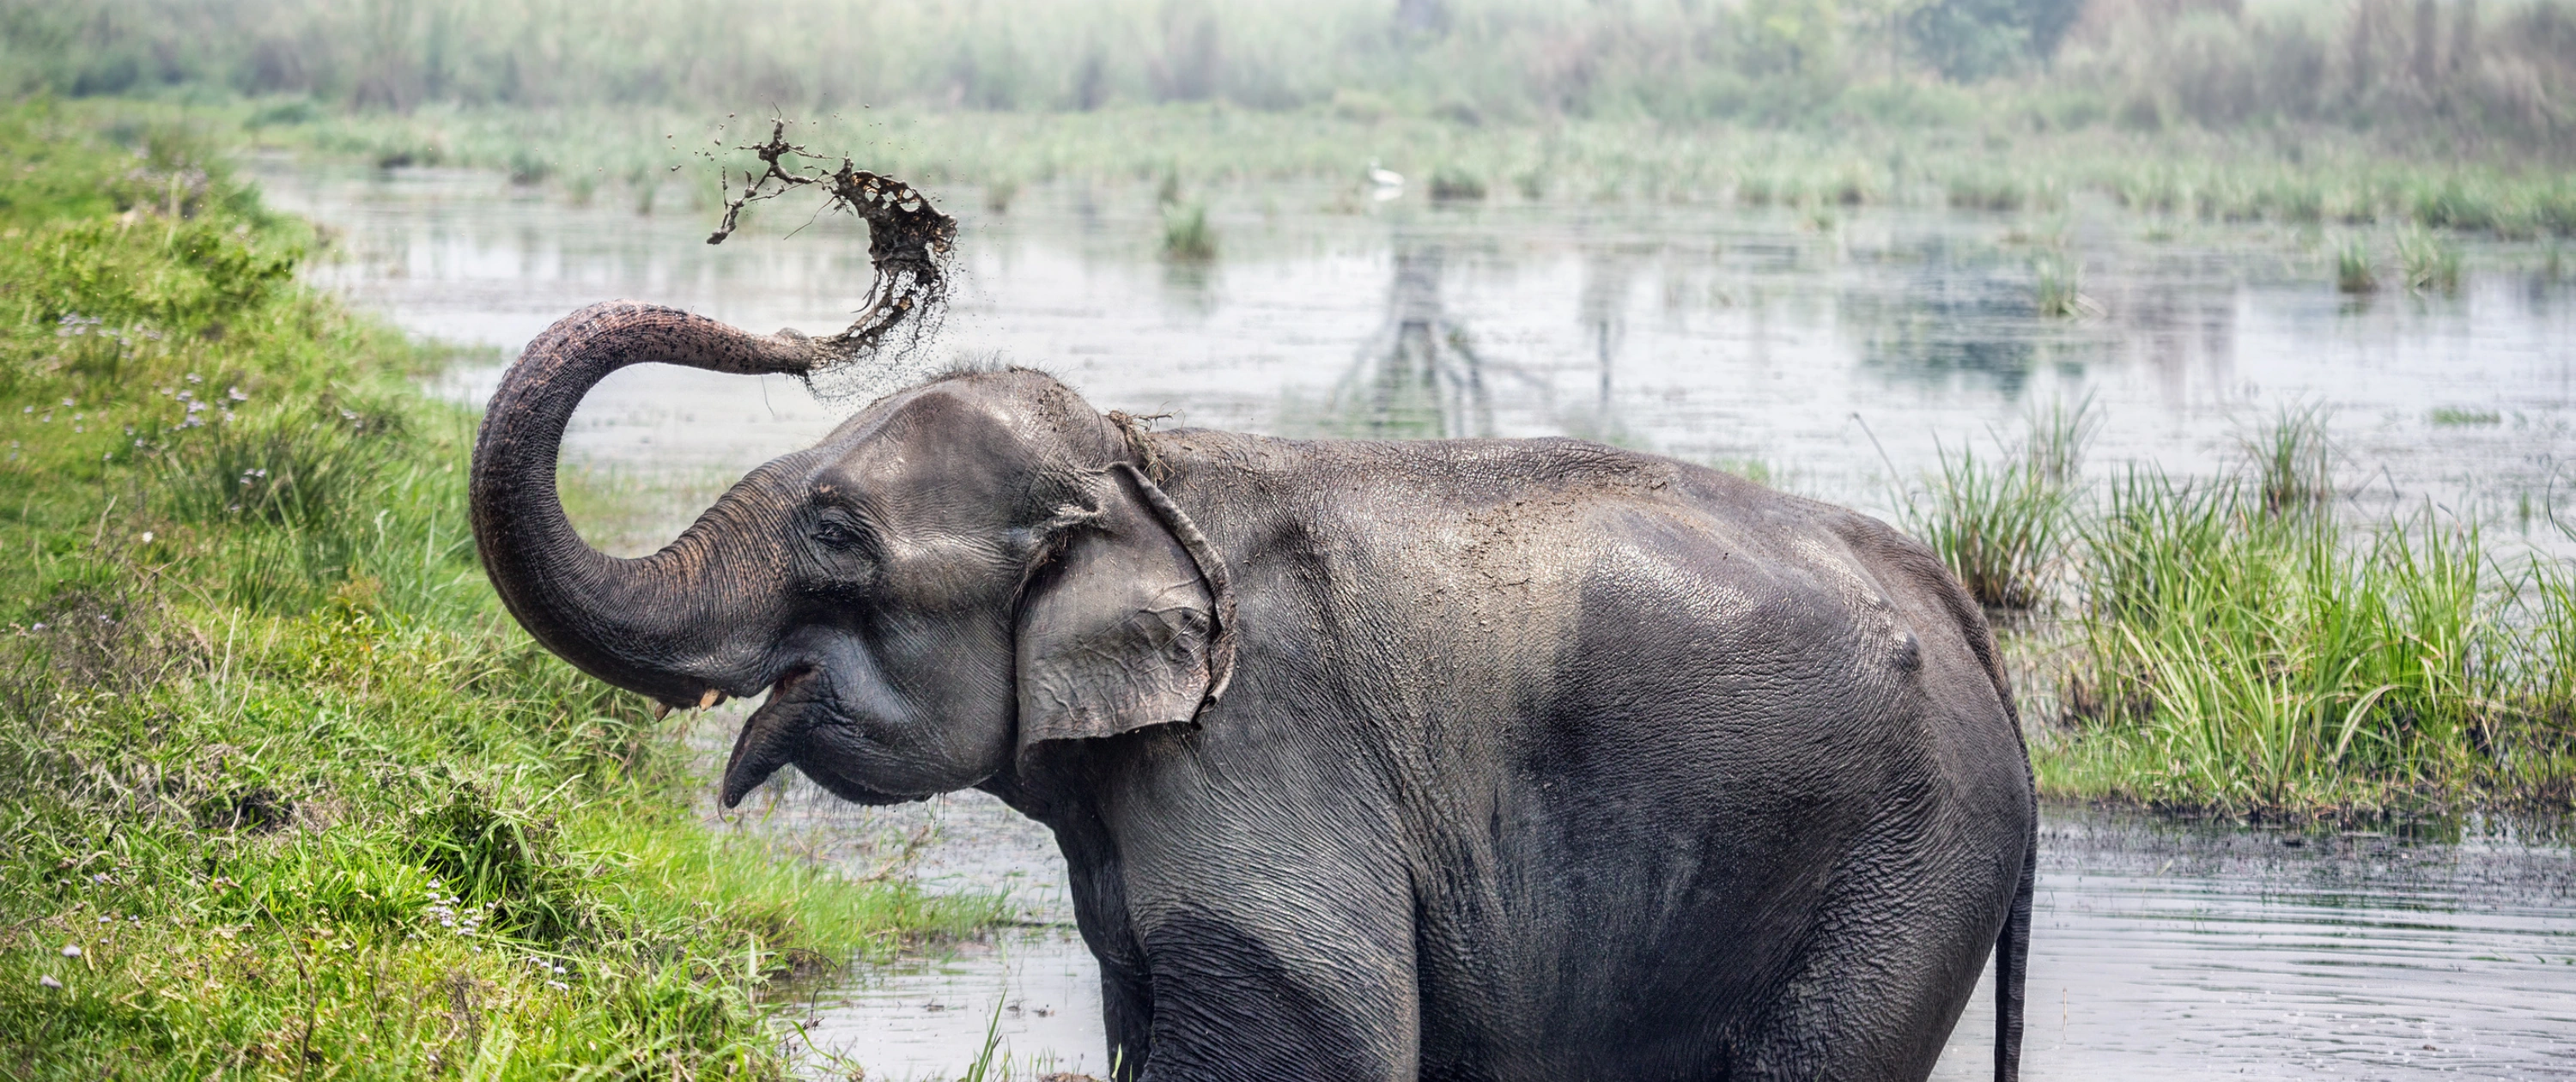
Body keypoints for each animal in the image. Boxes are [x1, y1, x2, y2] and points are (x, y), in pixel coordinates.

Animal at [470, 301, 2036, 1082]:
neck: (1144, 456)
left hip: (1902, 869)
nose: (811, 333)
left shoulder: (1260, 757)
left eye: (839, 532)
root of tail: (1966, 621)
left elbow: (1315, 1037)